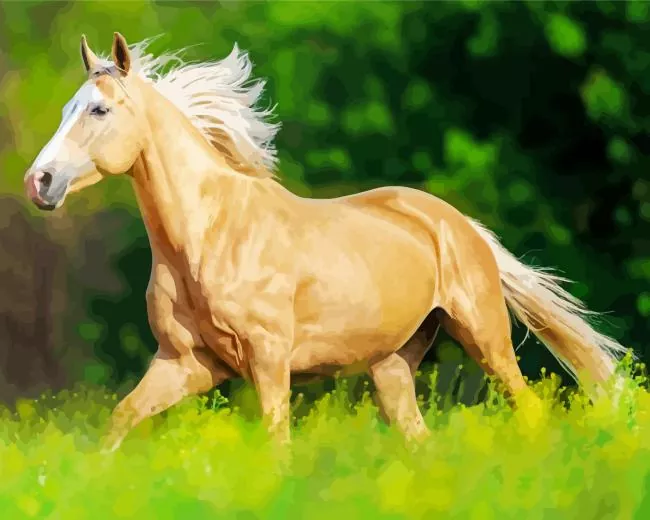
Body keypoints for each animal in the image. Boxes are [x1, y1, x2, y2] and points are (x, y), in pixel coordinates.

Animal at [23, 32, 629, 451]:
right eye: (67, 108)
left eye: (99, 108)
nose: (39, 182)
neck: (209, 237)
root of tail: (457, 224)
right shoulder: (185, 364)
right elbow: (119, 422)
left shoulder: (269, 361)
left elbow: (277, 446)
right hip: (392, 366)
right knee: (420, 441)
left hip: (485, 337)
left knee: (528, 409)